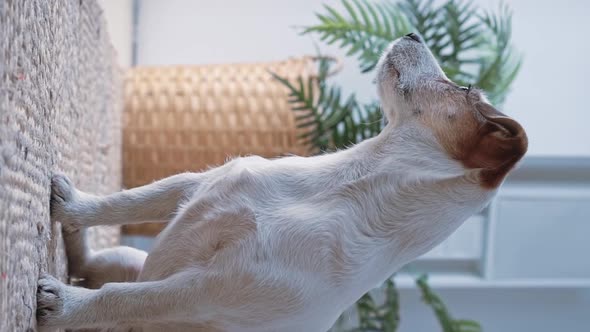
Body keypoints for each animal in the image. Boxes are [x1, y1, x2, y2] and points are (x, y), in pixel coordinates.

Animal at [35, 34, 528, 332]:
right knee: (93, 263)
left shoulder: (203, 290)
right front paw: (72, 207)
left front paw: (65, 307)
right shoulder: (193, 185)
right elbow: (123, 202)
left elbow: (123, 299)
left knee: (105, 284)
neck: (343, 186)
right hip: (128, 256)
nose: (413, 34)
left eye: (463, 89)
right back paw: (71, 231)